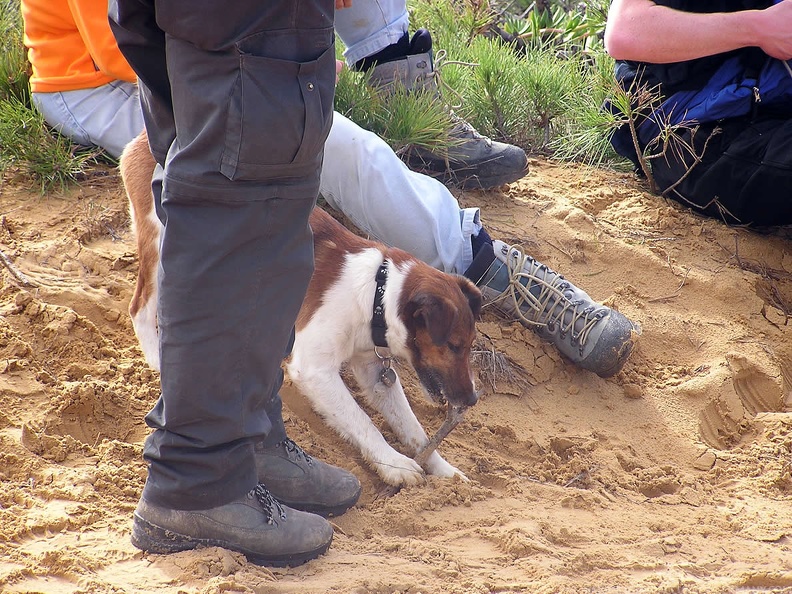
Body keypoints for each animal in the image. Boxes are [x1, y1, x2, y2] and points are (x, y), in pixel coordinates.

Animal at [123, 131, 482, 486]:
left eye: (470, 346)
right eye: (453, 346)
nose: (472, 400)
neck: (377, 294)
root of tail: (143, 139)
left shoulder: (373, 372)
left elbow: (413, 428)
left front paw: (443, 469)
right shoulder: (314, 369)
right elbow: (363, 421)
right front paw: (394, 464)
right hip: (161, 247)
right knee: (140, 306)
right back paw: (157, 359)